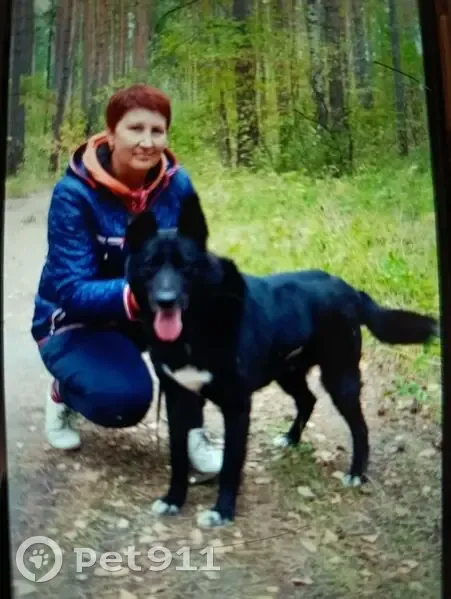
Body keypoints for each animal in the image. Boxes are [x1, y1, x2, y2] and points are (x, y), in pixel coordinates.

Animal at [125, 193, 439, 528]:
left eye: (186, 267)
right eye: (149, 267)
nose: (166, 301)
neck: (196, 326)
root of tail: (351, 290)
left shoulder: (237, 406)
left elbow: (230, 466)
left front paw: (223, 511)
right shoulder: (177, 398)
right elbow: (178, 457)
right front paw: (173, 499)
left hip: (339, 378)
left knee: (359, 427)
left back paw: (356, 473)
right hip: (286, 373)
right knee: (308, 400)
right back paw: (290, 439)